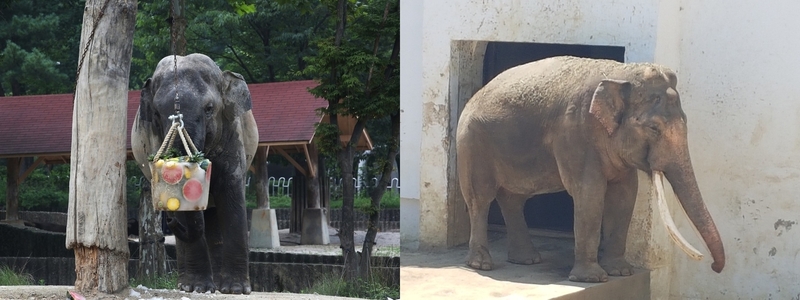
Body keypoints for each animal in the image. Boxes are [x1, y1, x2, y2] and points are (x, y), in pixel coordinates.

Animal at [130, 53, 256, 292]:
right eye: (157, 113)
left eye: (209, 108)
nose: (170, 221)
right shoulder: (153, 136)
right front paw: (198, 288)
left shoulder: (232, 132)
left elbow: (231, 193)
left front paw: (235, 289)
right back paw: (191, 285)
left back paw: (218, 285)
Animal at [456, 55, 724, 282]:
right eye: (654, 128)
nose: (713, 266)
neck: (621, 74)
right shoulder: (574, 133)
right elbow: (590, 193)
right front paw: (592, 278)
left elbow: (625, 194)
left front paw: (620, 272)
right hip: (472, 143)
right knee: (480, 198)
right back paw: (481, 265)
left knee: (513, 199)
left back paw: (527, 260)